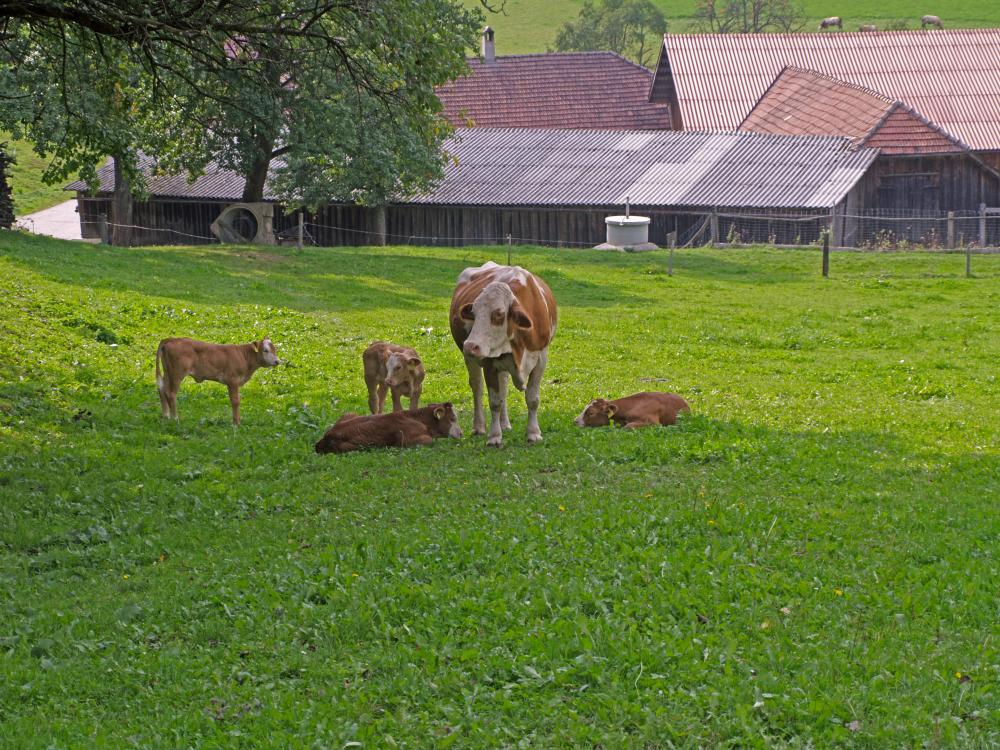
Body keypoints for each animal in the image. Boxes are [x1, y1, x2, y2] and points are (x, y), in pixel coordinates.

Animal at [452, 262, 560, 446]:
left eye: (499, 314)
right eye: (473, 312)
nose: (470, 345)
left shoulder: (540, 359)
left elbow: (532, 399)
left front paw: (533, 433)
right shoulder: (489, 362)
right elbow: (494, 401)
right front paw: (494, 436)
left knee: (503, 388)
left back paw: (505, 424)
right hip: (472, 360)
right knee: (478, 388)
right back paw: (479, 427)